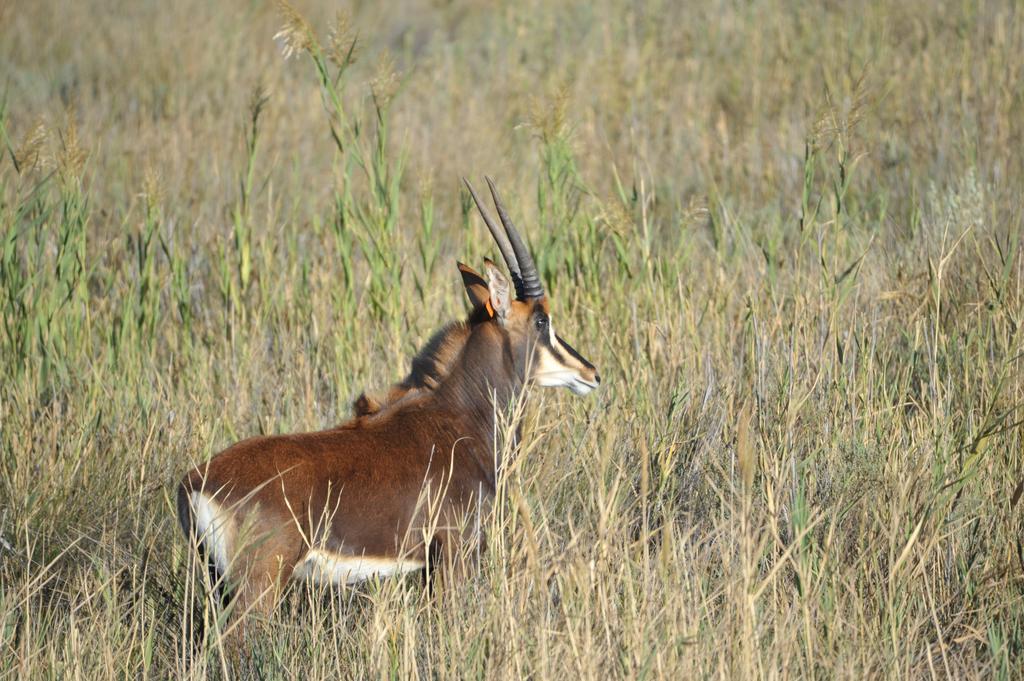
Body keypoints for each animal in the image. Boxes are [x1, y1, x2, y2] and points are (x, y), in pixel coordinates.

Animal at [178, 178, 598, 630]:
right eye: (542, 320)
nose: (591, 373)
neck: (460, 417)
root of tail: (195, 483)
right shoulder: (455, 549)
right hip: (257, 587)